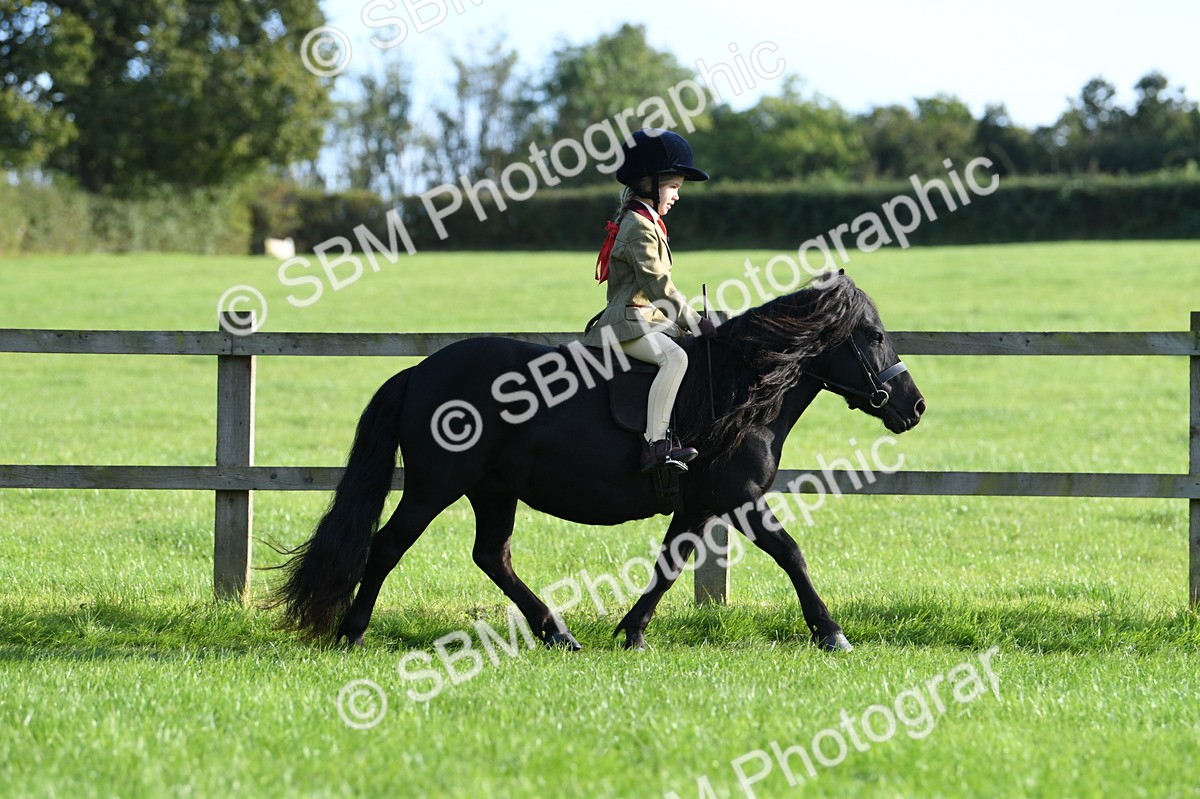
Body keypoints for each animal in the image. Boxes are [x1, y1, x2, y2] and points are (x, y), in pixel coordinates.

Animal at [267, 272, 925, 652]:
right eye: (872, 336)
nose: (914, 407)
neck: (740, 388)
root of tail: (421, 371)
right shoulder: (739, 498)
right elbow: (791, 553)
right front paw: (831, 632)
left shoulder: (698, 504)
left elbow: (669, 566)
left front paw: (632, 632)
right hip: (435, 486)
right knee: (386, 548)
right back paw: (351, 633)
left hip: (492, 489)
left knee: (492, 555)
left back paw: (555, 632)